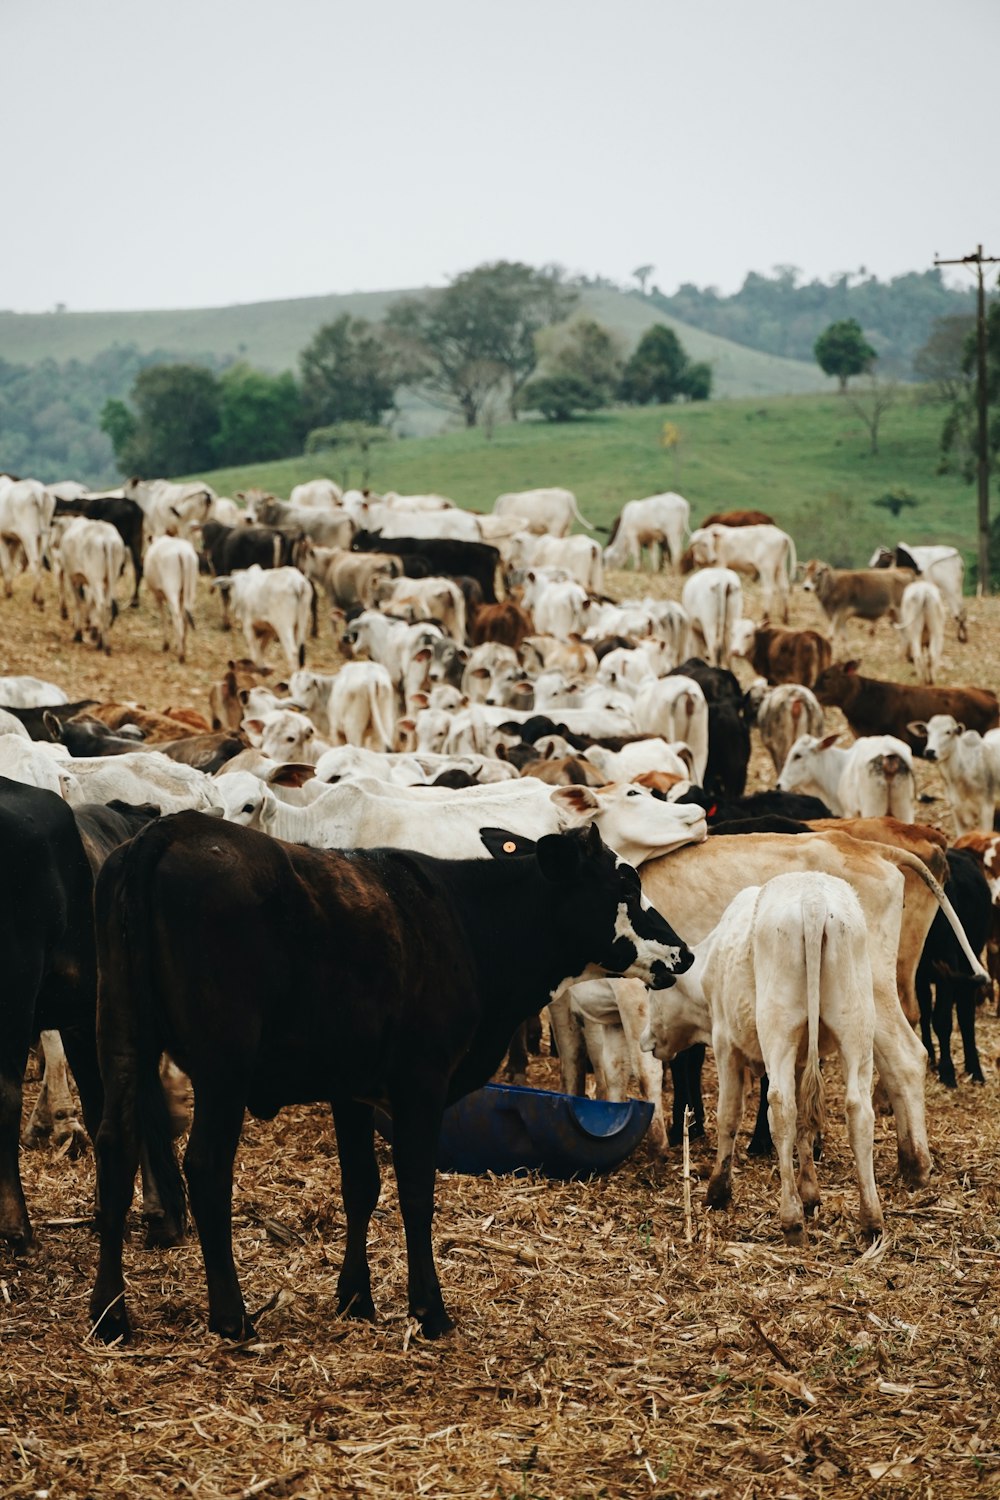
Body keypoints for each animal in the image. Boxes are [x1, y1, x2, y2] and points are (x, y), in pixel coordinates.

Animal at [50, 516, 124, 651]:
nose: (51, 543)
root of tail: (106, 539)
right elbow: (90, 601)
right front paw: (90, 626)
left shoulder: (72, 577)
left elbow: (78, 602)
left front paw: (78, 633)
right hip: (110, 578)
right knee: (107, 605)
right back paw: (101, 639)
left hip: (95, 578)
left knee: (101, 605)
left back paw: (103, 645)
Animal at [89, 816, 692, 1344]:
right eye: (626, 883)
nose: (683, 952)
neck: (469, 923)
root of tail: (168, 830)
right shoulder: (421, 1081)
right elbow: (415, 1190)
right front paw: (429, 1309)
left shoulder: (350, 1088)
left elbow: (361, 1185)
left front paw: (356, 1298)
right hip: (223, 1065)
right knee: (207, 1166)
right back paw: (231, 1316)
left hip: (121, 1038)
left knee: (115, 1149)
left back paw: (109, 1313)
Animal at [641, 870, 881, 1242]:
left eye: (651, 991)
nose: (645, 1039)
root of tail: (813, 901)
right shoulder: (801, 1059)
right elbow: (804, 1124)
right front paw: (810, 1194)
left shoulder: (725, 1043)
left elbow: (730, 1115)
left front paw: (718, 1191)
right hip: (856, 1029)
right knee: (857, 1111)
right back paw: (870, 1219)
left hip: (779, 1031)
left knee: (780, 1108)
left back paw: (791, 1219)